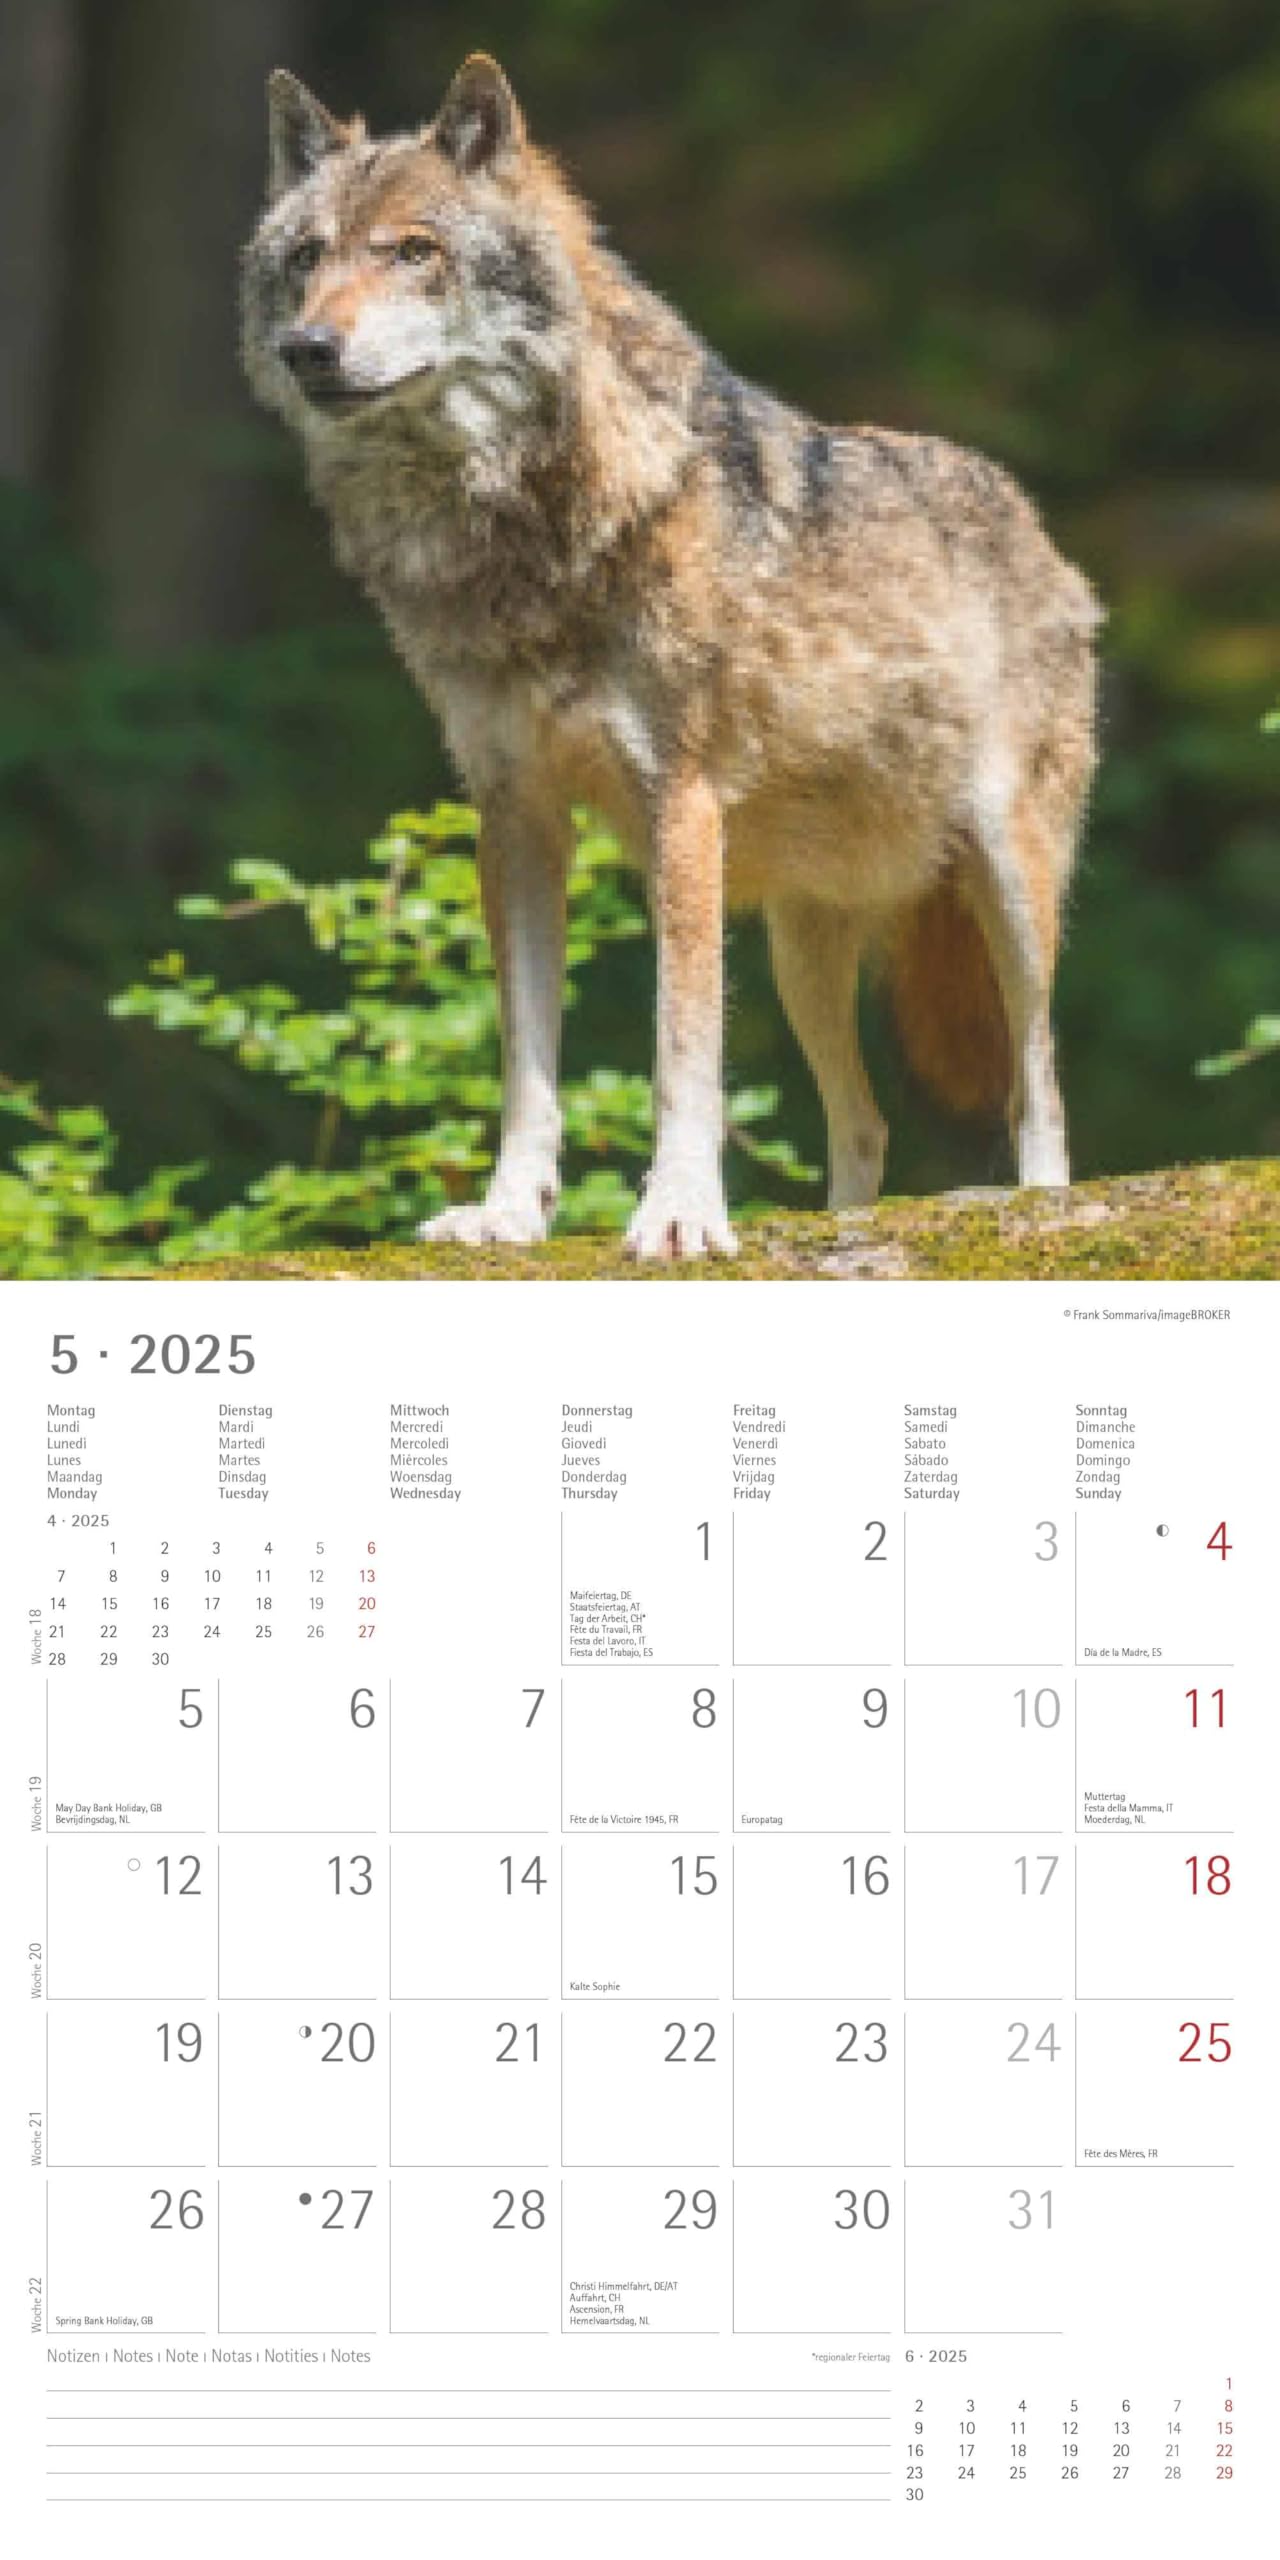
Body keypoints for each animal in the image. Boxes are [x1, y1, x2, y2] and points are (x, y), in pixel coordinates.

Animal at [242, 54, 1100, 1259]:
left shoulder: (678, 802)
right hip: (800, 947)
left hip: (1009, 887)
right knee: (868, 1125)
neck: (519, 533)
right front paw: (508, 1211)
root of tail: (1035, 523)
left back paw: (1039, 1208)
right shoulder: (514, 812)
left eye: (413, 250)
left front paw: (680, 1212)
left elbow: (678, 1046)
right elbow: (526, 1061)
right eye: (308, 257)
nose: (307, 349)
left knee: (1038, 1086)